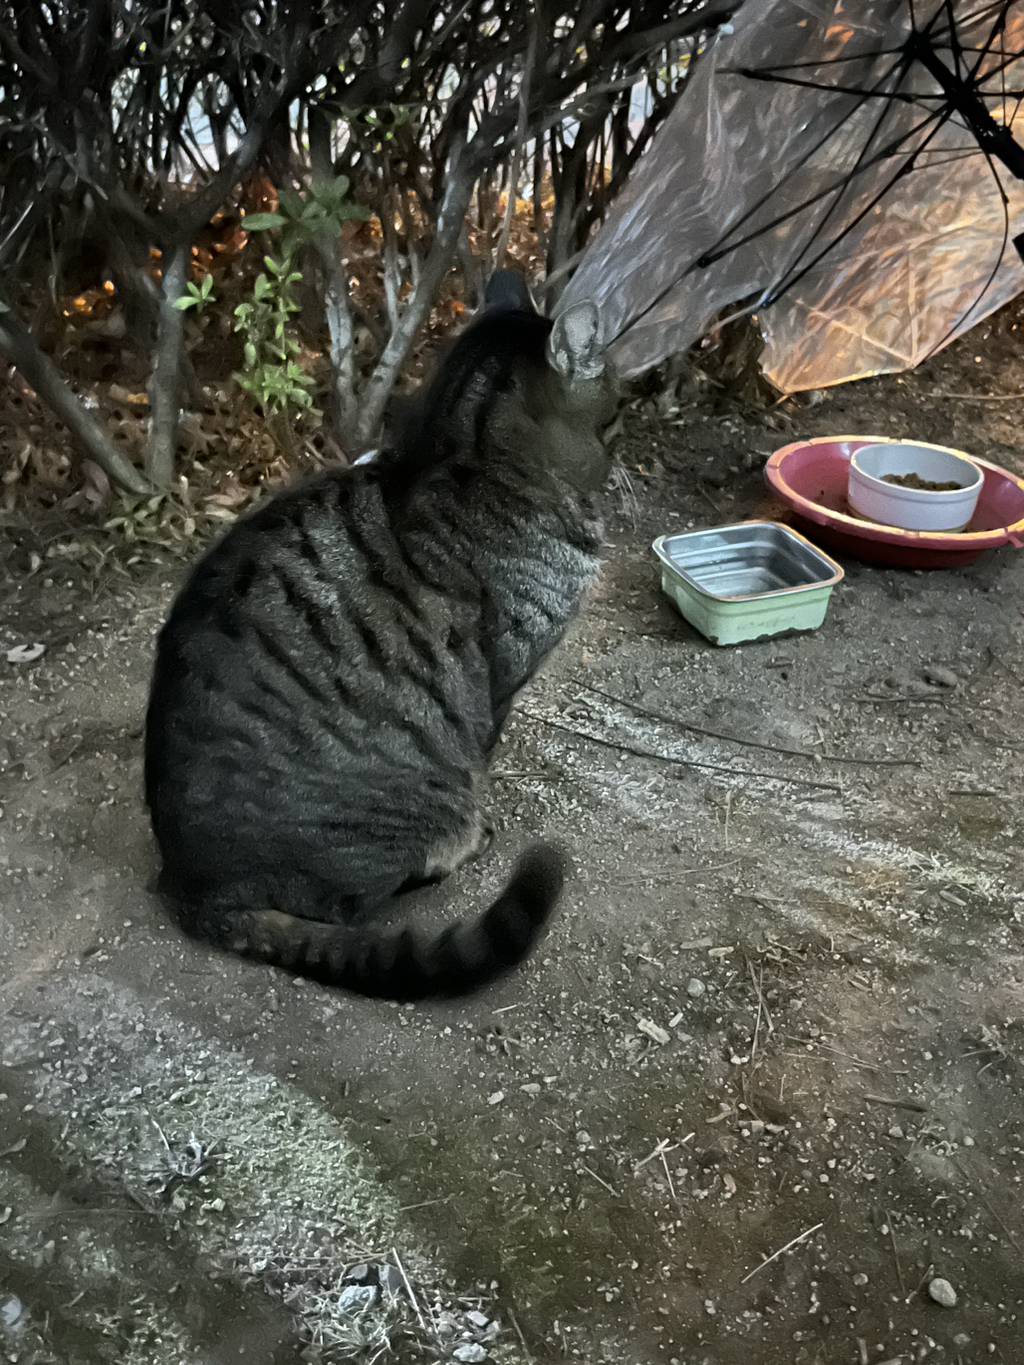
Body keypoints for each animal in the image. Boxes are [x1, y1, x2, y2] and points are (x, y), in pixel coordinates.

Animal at [144, 271, 617, 999]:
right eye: (616, 403)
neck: (473, 466)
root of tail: (195, 888)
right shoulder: (505, 679)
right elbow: (485, 751)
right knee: (353, 899)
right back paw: (455, 845)